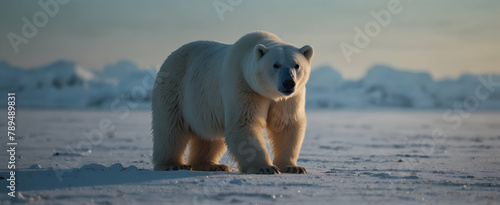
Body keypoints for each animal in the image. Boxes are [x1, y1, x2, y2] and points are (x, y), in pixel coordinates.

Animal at [152, 30, 314, 175]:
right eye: (275, 65)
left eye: (296, 65)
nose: (288, 83)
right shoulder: (243, 85)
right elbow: (244, 123)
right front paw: (265, 167)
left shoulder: (288, 98)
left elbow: (286, 124)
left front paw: (293, 167)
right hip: (175, 89)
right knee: (170, 129)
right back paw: (173, 164)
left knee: (210, 136)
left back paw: (213, 165)